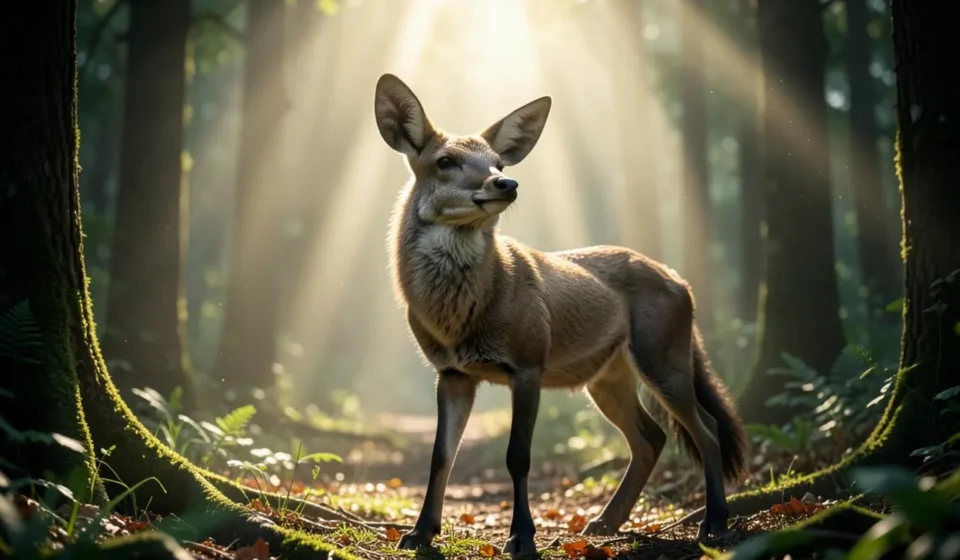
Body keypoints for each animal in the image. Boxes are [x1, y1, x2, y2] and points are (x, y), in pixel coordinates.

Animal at [373, 73, 747, 556]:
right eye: (445, 160)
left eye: (497, 161)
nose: (506, 184)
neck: (459, 319)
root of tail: (681, 282)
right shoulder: (452, 373)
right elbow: (440, 456)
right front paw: (420, 532)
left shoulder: (528, 361)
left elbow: (517, 456)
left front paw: (522, 536)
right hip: (607, 378)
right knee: (652, 437)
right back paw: (605, 522)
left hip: (662, 358)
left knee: (707, 429)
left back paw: (714, 521)